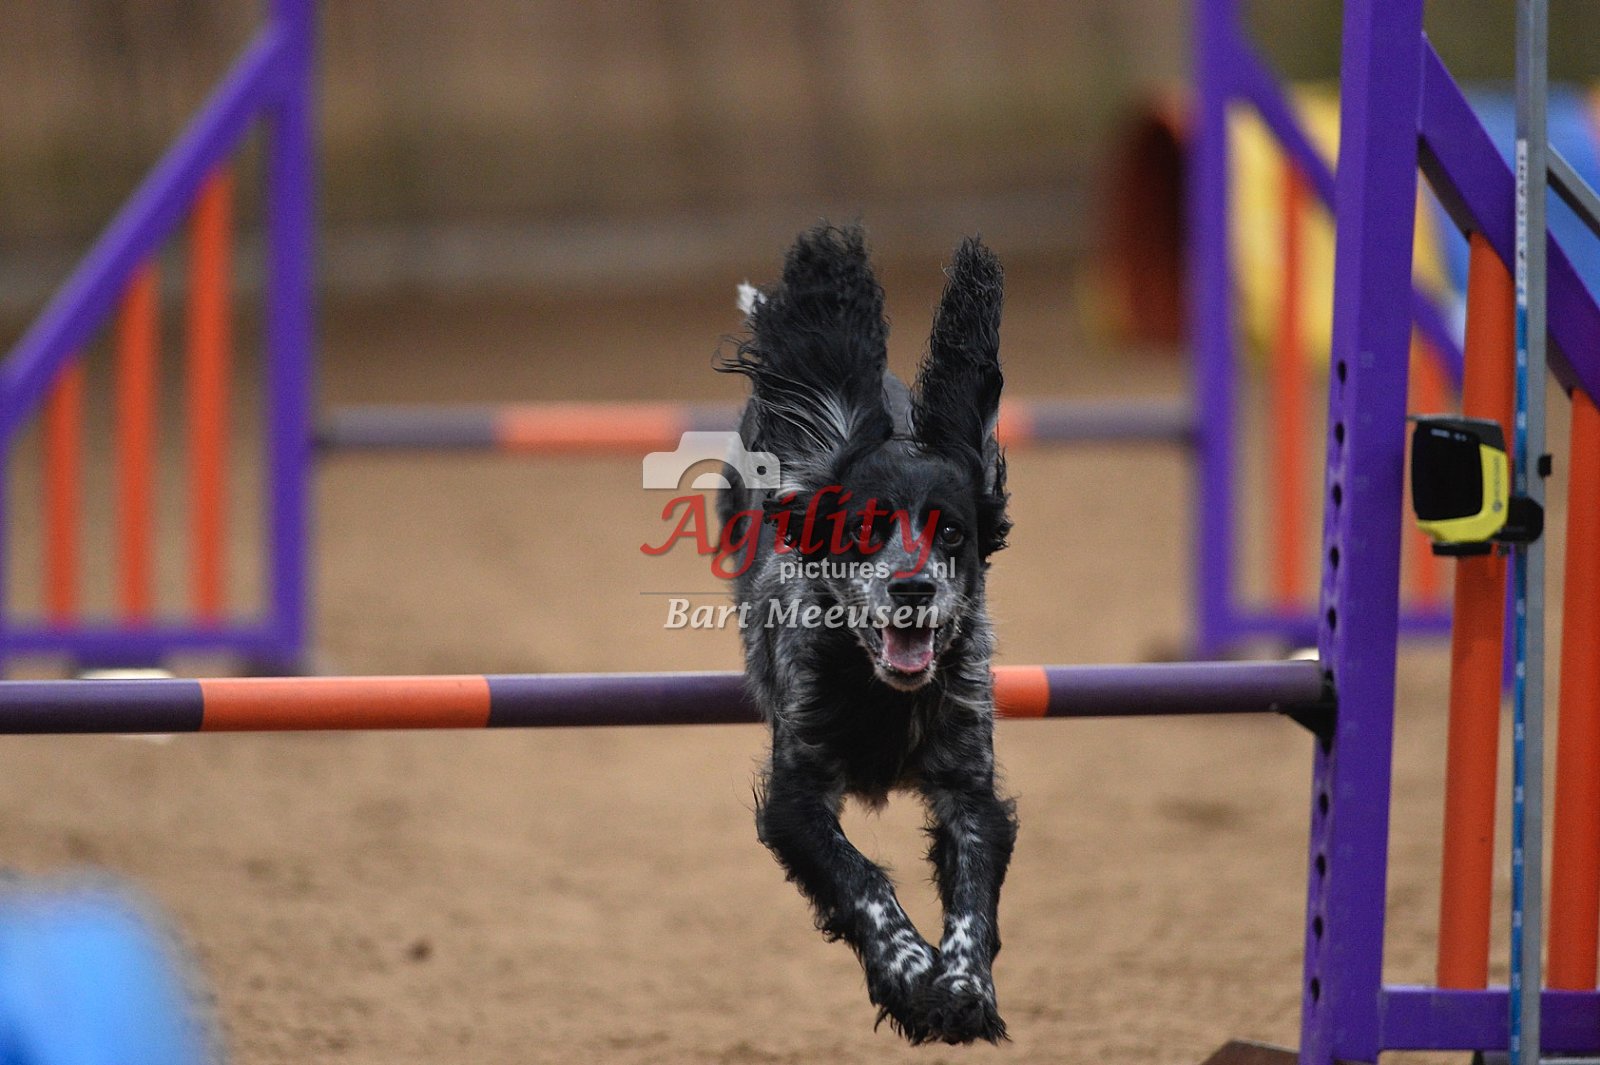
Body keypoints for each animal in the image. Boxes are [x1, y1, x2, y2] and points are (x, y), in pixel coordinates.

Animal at [717, 223, 1018, 1045]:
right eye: (862, 530)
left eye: (952, 532)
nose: (912, 588)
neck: (880, 694)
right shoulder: (796, 795)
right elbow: (860, 879)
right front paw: (911, 976)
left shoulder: (971, 785)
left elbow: (973, 895)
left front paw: (963, 988)